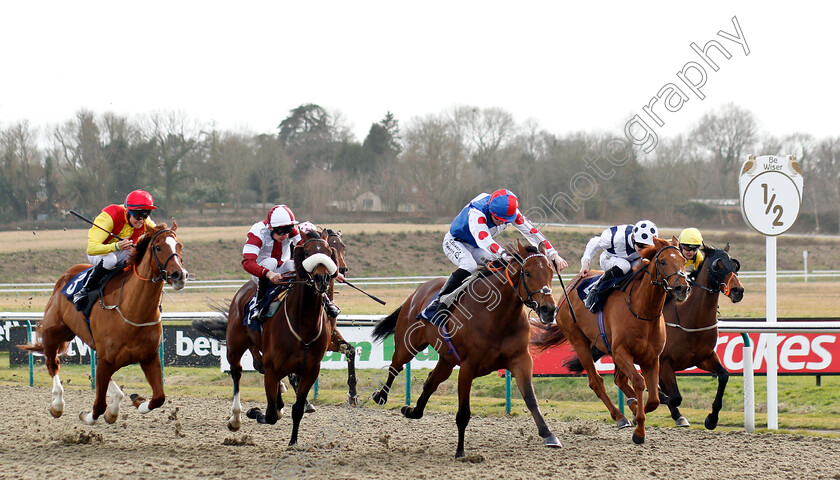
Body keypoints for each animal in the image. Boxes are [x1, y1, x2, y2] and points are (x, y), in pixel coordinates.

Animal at [20, 224, 188, 424]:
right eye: (159, 247)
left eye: (179, 246)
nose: (179, 275)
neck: (132, 311)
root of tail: (66, 275)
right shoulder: (106, 359)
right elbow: (99, 405)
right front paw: (87, 416)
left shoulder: (149, 356)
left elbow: (159, 398)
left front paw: (137, 401)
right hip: (54, 332)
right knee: (52, 363)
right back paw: (57, 405)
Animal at [235, 230, 340, 446]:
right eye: (307, 252)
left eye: (328, 251)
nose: (322, 278)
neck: (304, 323)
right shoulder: (274, 366)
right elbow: (270, 414)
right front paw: (255, 412)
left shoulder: (310, 370)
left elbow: (297, 408)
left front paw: (293, 441)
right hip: (237, 344)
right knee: (239, 372)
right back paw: (236, 419)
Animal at [370, 242, 560, 460]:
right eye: (527, 273)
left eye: (550, 271)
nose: (549, 310)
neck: (496, 316)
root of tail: (419, 290)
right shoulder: (468, 367)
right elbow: (463, 413)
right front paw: (460, 450)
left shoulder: (521, 360)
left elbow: (530, 398)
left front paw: (549, 435)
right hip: (407, 344)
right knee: (395, 367)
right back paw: (381, 396)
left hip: (446, 359)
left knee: (430, 383)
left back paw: (412, 411)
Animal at [532, 235, 688, 442]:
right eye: (663, 261)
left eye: (684, 260)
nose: (682, 288)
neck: (642, 310)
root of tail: (571, 285)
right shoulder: (622, 352)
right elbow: (639, 382)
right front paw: (639, 429)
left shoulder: (651, 358)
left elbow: (654, 398)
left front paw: (638, 410)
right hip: (579, 341)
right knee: (596, 382)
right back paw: (620, 416)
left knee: (619, 380)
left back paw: (631, 405)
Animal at [660, 244, 744, 428]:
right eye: (717, 265)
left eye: (735, 265)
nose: (738, 290)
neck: (689, 320)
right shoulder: (664, 362)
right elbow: (674, 397)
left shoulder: (704, 357)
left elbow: (724, 375)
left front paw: (712, 419)